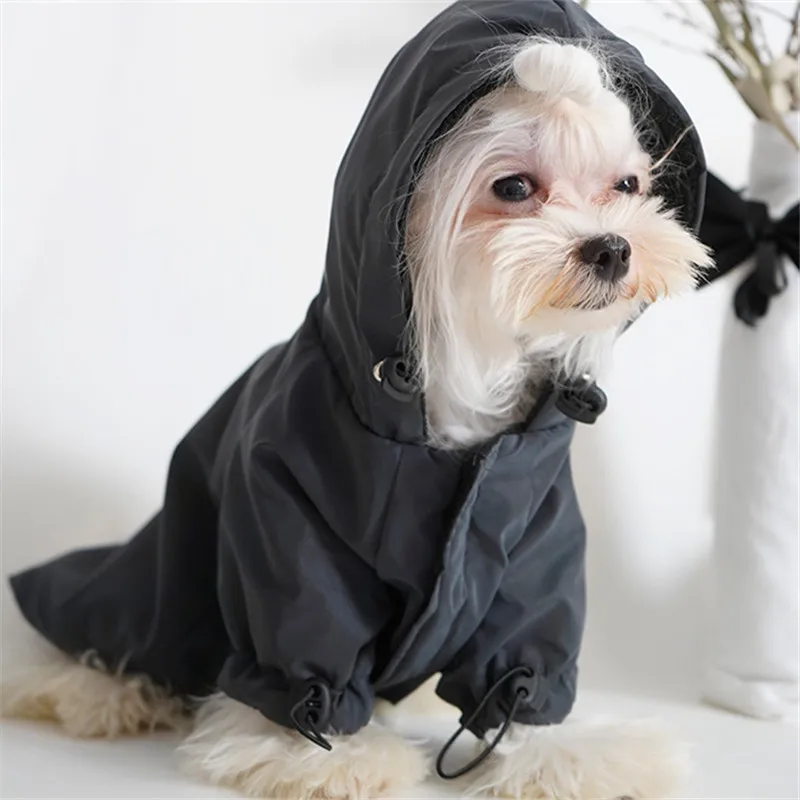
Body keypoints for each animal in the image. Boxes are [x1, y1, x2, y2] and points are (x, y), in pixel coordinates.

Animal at [3, 3, 711, 798]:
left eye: (626, 183)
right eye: (513, 188)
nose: (612, 248)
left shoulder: (537, 538)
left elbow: (523, 650)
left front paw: (552, 750)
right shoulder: (284, 518)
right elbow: (306, 634)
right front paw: (318, 753)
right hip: (149, 586)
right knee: (112, 631)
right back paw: (98, 688)